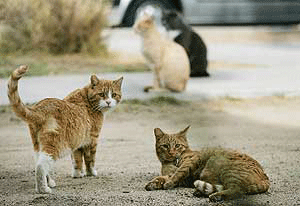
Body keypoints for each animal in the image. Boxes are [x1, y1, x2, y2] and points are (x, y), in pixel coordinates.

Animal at [7, 65, 123, 194]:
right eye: (102, 94)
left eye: (114, 95)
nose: (108, 102)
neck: (87, 98)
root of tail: (39, 108)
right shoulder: (92, 140)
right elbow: (90, 160)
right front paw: (91, 173)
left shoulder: (77, 142)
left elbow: (77, 160)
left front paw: (78, 174)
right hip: (56, 145)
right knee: (41, 166)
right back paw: (43, 189)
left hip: (38, 145)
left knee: (41, 163)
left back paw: (50, 183)